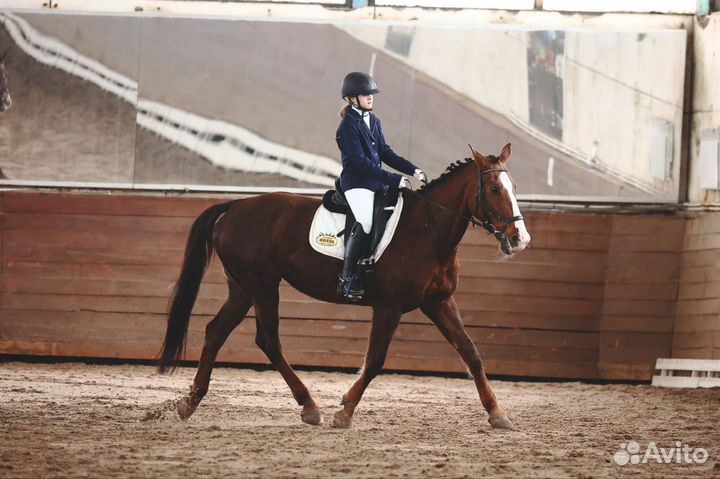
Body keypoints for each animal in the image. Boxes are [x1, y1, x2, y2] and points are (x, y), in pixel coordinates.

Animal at [162, 143, 536, 432]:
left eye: (515, 187)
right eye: (494, 190)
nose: (520, 239)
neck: (427, 232)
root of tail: (237, 205)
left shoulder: (440, 302)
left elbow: (471, 353)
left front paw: (498, 414)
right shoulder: (388, 307)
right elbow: (375, 360)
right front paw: (344, 412)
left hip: (242, 288)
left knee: (215, 331)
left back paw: (189, 402)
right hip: (263, 286)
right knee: (268, 340)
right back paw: (309, 406)